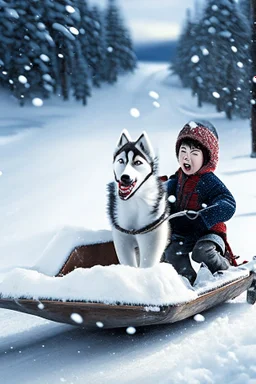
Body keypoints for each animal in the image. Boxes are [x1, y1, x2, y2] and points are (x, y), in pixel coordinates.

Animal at [107, 129, 170, 268]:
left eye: (137, 163)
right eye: (121, 161)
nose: (125, 177)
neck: (134, 203)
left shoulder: (151, 236)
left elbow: (147, 264)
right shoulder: (122, 237)